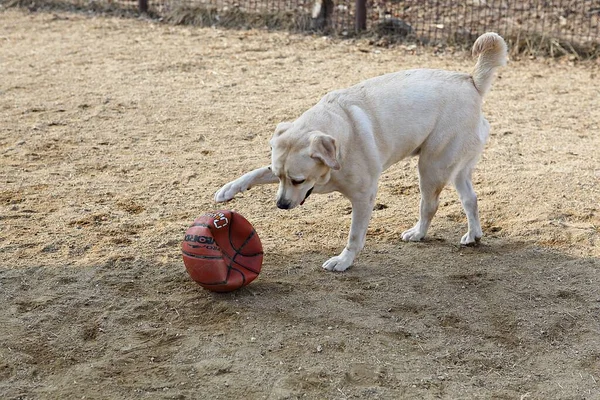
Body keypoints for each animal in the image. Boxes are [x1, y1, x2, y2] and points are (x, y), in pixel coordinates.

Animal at [214, 32, 506, 272]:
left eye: (299, 180)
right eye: (280, 176)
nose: (281, 205)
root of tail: (471, 82)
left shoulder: (364, 198)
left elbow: (354, 236)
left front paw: (343, 261)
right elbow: (254, 172)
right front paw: (228, 190)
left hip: (431, 167)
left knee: (430, 205)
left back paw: (418, 233)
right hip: (456, 169)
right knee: (471, 199)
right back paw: (473, 235)